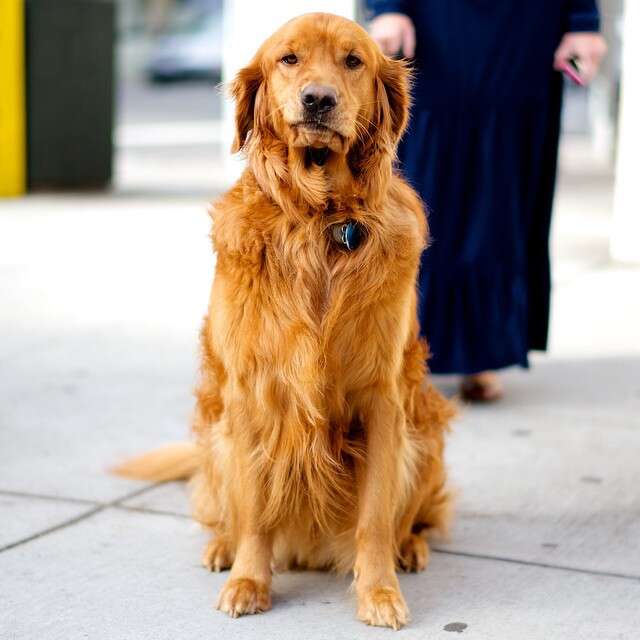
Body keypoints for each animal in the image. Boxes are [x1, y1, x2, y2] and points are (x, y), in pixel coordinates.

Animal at [116, 13, 456, 632]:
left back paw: (410, 548)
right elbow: (254, 514)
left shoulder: (382, 401)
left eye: (353, 61)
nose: (317, 99)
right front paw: (249, 581)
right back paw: (221, 549)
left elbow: (375, 517)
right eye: (288, 59)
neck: (319, 221)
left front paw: (379, 591)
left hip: (425, 432)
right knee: (223, 512)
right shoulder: (252, 397)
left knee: (412, 516)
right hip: (217, 435)